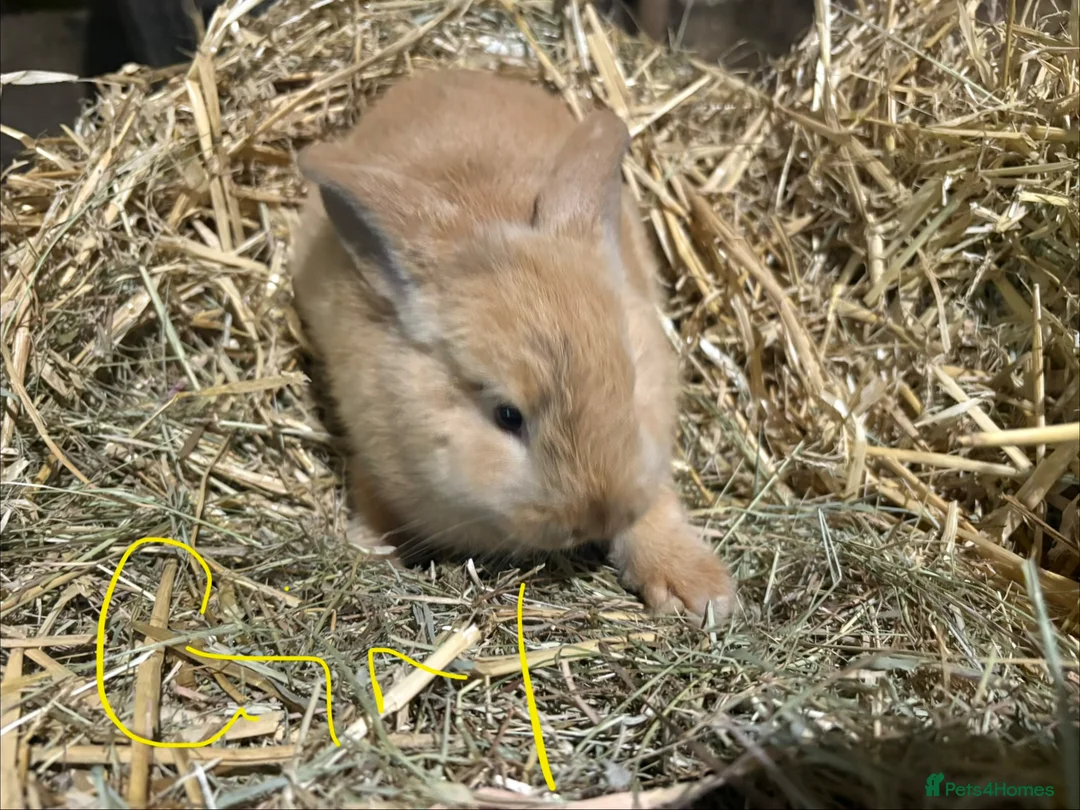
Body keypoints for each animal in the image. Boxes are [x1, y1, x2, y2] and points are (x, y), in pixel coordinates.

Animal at [289, 69, 734, 620]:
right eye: (507, 416)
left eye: (630, 388)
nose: (596, 517)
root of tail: (441, 76)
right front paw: (370, 551)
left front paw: (703, 595)